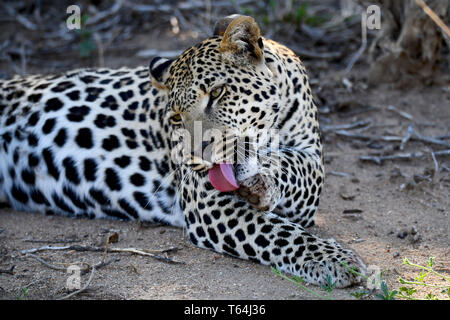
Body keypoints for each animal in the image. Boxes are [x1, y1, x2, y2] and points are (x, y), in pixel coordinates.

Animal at [0, 15, 366, 288]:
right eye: (175, 117)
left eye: (218, 92)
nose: (198, 155)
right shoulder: (207, 203)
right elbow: (280, 232)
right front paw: (334, 260)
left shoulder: (311, 157)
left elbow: (297, 170)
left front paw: (263, 179)